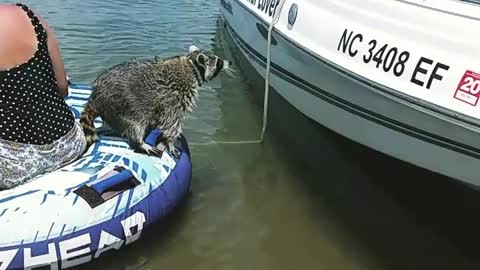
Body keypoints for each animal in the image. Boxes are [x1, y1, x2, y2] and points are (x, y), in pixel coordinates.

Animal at [79, 44, 232, 158]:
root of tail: (96, 94)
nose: (229, 62)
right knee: (135, 124)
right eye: (218, 62)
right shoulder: (175, 99)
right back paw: (140, 142)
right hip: (123, 104)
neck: (191, 65)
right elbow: (172, 124)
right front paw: (170, 142)